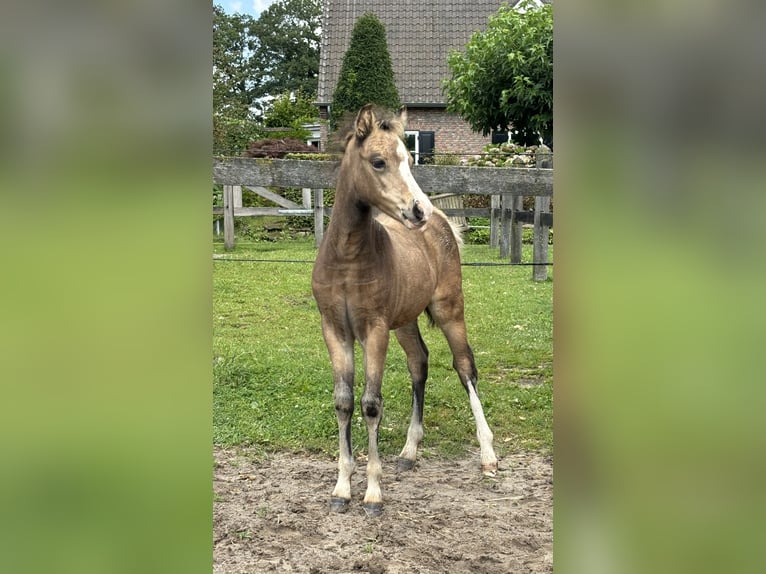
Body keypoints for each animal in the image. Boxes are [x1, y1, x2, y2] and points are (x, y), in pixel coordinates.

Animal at [312, 104, 498, 516]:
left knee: (465, 367)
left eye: (410, 159)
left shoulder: (375, 330)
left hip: (448, 309)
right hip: (405, 322)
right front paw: (341, 489)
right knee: (419, 362)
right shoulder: (335, 330)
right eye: (378, 161)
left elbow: (371, 404)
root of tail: (444, 221)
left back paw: (488, 455)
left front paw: (373, 494)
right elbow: (344, 402)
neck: (347, 260)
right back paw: (410, 451)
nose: (419, 210)